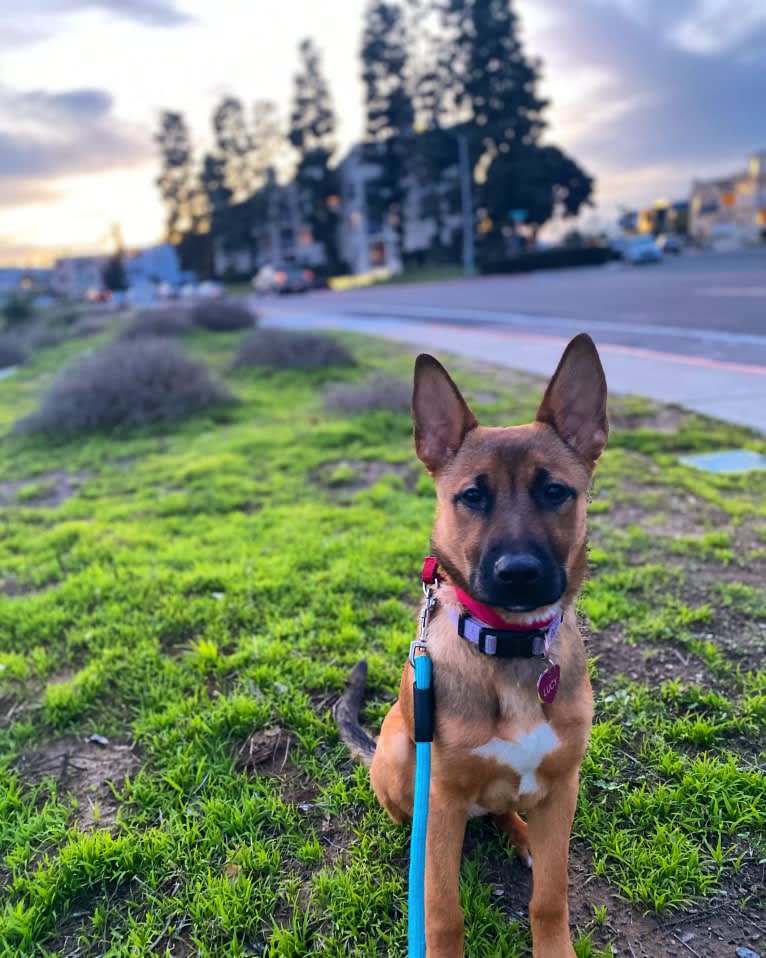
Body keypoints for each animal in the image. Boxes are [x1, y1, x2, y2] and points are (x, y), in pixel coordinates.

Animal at [336, 334, 612, 956]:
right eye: (472, 497)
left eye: (555, 491)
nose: (518, 574)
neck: (508, 646)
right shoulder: (440, 800)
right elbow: (441, 910)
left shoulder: (562, 790)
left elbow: (550, 898)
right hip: (401, 757)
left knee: (506, 814)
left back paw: (522, 836)